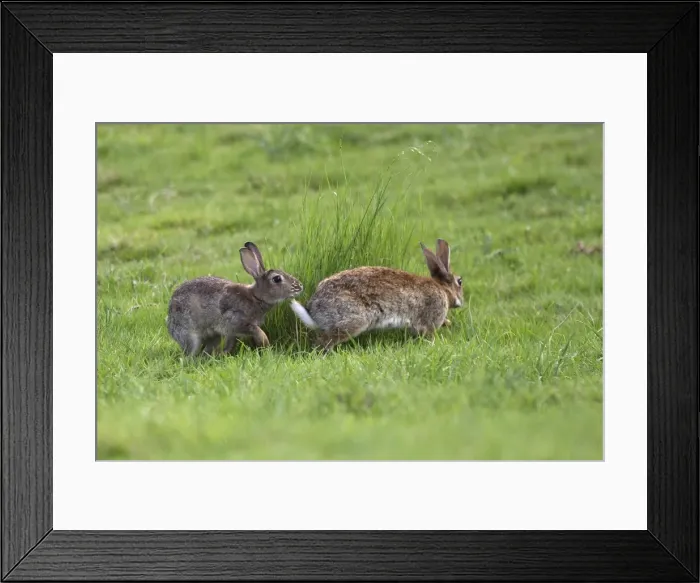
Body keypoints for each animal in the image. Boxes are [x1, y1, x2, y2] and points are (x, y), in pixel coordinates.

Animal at [167, 241, 303, 356]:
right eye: (277, 279)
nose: (300, 286)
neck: (256, 297)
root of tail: (169, 320)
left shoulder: (232, 333)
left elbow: (231, 344)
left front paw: (225, 354)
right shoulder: (235, 321)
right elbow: (255, 330)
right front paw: (265, 342)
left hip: (214, 337)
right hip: (190, 334)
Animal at [290, 238, 463, 351]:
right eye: (460, 281)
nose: (461, 302)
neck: (443, 289)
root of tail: (313, 310)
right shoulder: (430, 321)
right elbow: (430, 335)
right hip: (353, 320)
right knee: (324, 341)